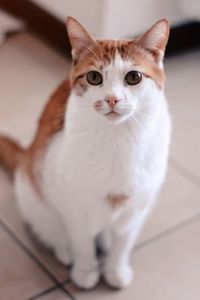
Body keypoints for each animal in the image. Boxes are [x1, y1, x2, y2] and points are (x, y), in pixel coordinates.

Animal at [0, 15, 171, 288]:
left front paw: (115, 270)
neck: (118, 138)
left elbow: (124, 243)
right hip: (35, 194)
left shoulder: (138, 207)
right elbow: (82, 242)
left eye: (134, 77)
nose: (112, 99)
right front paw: (86, 271)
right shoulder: (74, 205)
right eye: (94, 77)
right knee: (53, 231)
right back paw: (64, 251)